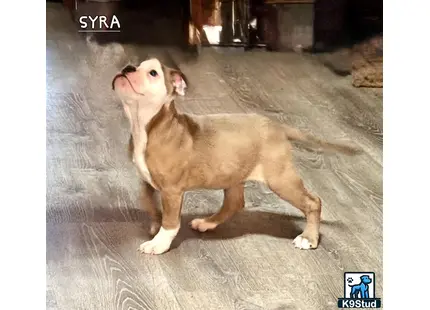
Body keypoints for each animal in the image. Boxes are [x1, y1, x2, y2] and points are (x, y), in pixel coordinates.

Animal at [111, 57, 360, 254]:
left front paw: (159, 242)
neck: (147, 124)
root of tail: (277, 126)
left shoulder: (172, 191)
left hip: (280, 179)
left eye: (152, 72)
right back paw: (208, 223)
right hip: (234, 175)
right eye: (135, 65)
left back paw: (309, 238)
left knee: (312, 201)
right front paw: (155, 223)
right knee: (234, 203)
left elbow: (171, 222)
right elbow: (147, 201)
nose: (127, 67)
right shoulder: (147, 180)